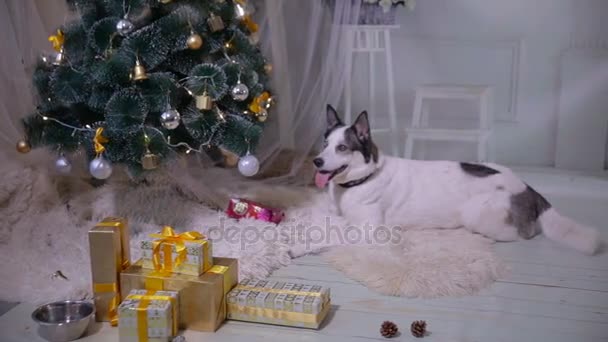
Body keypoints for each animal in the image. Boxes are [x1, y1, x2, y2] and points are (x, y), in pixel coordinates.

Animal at [316, 105, 600, 254]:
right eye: (325, 144)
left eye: (342, 148)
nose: (316, 161)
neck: (365, 177)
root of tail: (527, 188)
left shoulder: (367, 230)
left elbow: (333, 236)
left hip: (476, 214)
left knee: (521, 235)